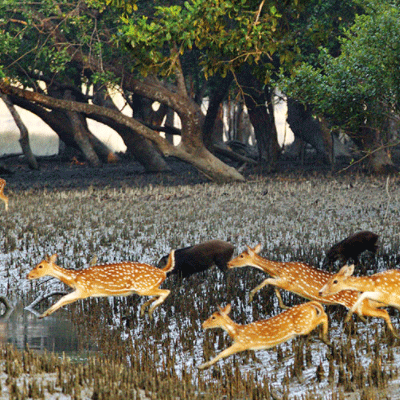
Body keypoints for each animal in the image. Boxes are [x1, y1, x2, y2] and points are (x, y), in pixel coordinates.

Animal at [25, 253, 174, 318]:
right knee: (160, 293)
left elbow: (63, 298)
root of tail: (162, 271)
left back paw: (151, 310)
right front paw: (44, 314)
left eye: (40, 266)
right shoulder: (81, 291)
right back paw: (144, 310)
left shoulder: (85, 290)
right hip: (144, 288)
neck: (74, 278)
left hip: (143, 287)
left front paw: (43, 314)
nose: (28, 275)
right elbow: (63, 300)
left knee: (166, 291)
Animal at [198, 302, 330, 370]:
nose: (203, 324)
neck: (237, 332)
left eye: (213, 317)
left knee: (324, 316)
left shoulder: (243, 343)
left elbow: (222, 353)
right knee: (323, 313)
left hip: (303, 325)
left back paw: (324, 337)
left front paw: (202, 366)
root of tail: (310, 304)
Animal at [227, 245, 398, 336]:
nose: (229, 263)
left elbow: (267, 281)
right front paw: (283, 305)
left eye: (241, 255)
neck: (279, 269)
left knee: (383, 312)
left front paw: (250, 297)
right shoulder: (283, 282)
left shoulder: (289, 282)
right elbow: (273, 285)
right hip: (366, 303)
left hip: (356, 303)